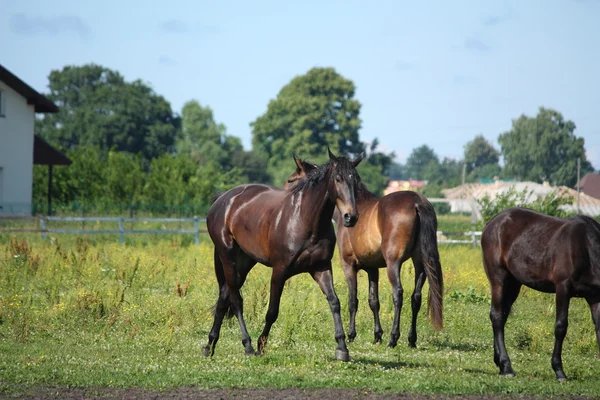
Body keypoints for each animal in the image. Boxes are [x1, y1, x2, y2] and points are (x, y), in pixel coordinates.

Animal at [202, 148, 364, 360]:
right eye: (338, 178)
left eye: (356, 180)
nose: (351, 217)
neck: (305, 220)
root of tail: (223, 200)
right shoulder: (279, 271)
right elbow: (272, 311)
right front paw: (261, 345)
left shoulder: (321, 268)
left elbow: (334, 302)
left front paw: (342, 347)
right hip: (227, 255)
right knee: (236, 300)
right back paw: (247, 346)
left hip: (244, 261)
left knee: (224, 295)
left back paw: (209, 345)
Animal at [284, 156, 442, 346]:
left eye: (290, 180)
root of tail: (417, 203)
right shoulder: (372, 268)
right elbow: (374, 301)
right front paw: (377, 335)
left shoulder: (349, 266)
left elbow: (353, 300)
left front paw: (351, 335)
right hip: (420, 263)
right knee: (416, 297)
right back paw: (411, 339)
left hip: (393, 264)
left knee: (398, 294)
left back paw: (393, 338)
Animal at [482, 206, 600, 382]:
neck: (586, 248)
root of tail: (493, 222)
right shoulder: (563, 288)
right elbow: (560, 327)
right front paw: (559, 370)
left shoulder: (595, 297)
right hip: (498, 280)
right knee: (497, 317)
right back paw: (506, 366)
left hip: (513, 283)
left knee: (501, 316)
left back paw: (500, 363)